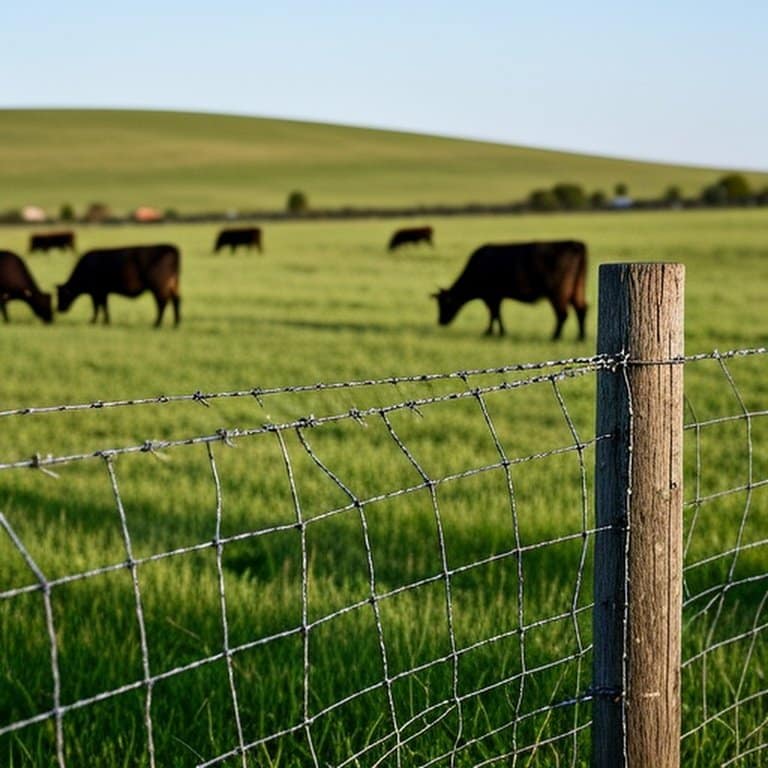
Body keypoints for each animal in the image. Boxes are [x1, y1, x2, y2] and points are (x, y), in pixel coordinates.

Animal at [433, 240, 588, 340]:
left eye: (444, 304)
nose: (440, 321)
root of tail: (575, 244)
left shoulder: (491, 296)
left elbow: (494, 314)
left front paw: (491, 332)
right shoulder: (496, 297)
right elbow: (496, 314)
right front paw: (498, 332)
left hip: (558, 292)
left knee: (562, 314)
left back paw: (555, 337)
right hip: (576, 289)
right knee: (581, 309)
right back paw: (580, 337)